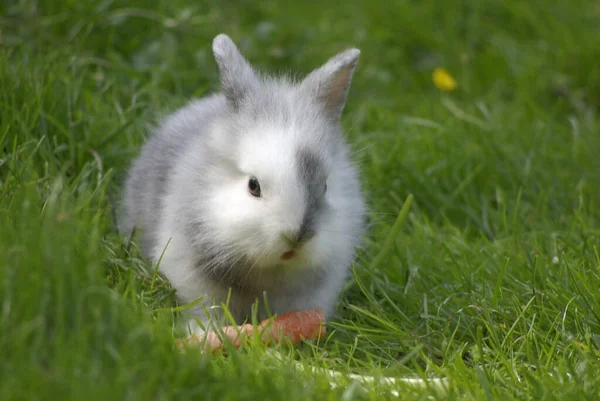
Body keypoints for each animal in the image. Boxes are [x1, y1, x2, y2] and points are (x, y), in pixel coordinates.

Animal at [120, 34, 366, 332]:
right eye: (253, 186)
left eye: (325, 186)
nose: (296, 238)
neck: (267, 268)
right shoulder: (189, 271)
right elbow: (204, 307)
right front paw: (204, 333)